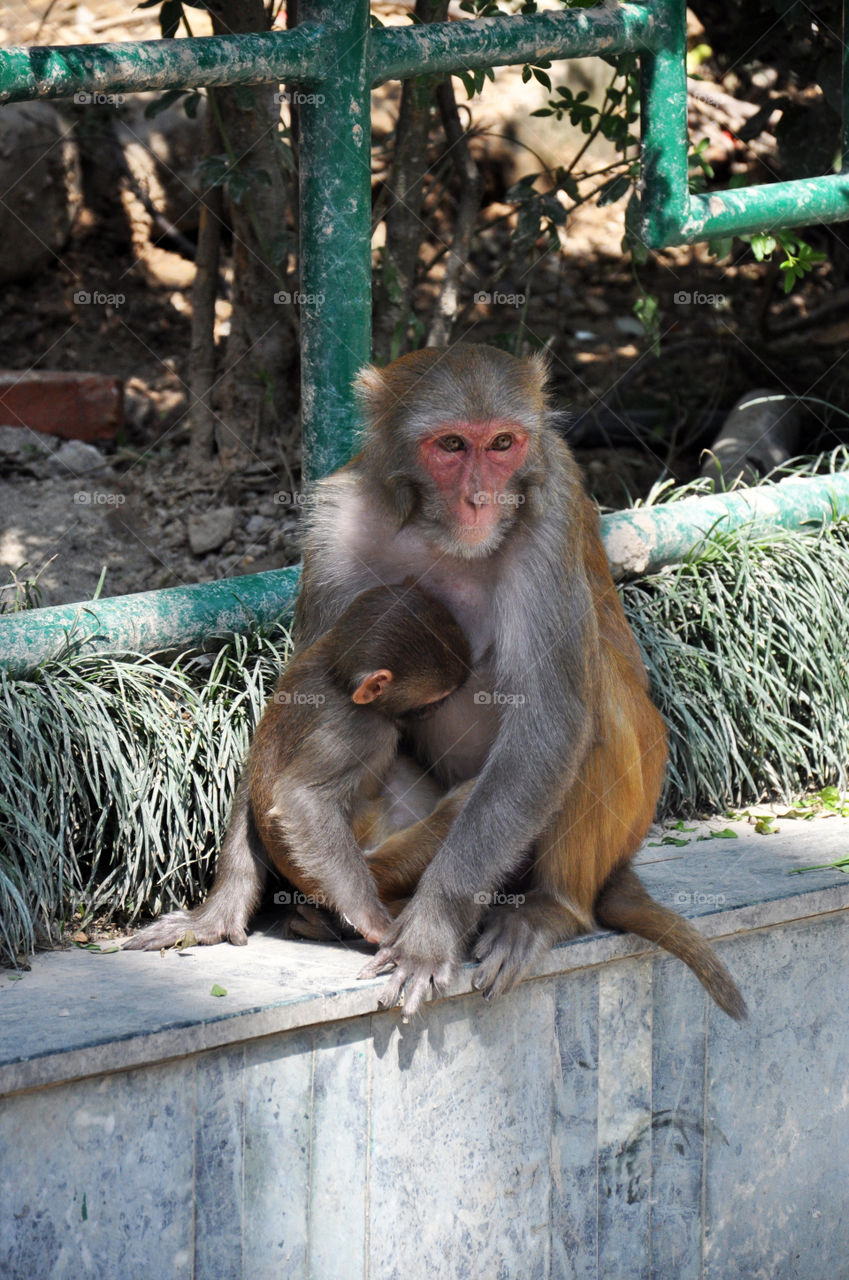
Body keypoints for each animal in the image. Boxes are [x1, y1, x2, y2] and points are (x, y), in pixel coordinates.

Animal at [124, 584, 470, 950]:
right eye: (435, 699)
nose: (439, 709)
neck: (337, 677)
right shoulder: (361, 729)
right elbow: (301, 800)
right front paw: (370, 919)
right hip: (383, 866)